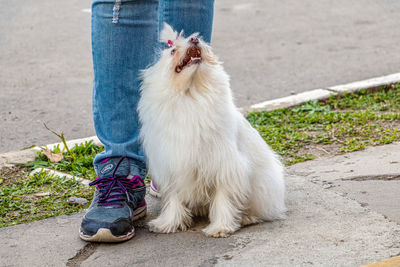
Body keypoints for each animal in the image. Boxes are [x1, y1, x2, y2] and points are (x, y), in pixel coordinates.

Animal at [139, 23, 286, 239]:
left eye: (192, 40)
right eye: (173, 51)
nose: (194, 39)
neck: (191, 93)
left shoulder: (225, 166)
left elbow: (224, 198)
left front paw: (220, 227)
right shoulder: (172, 165)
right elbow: (174, 198)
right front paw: (168, 223)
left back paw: (247, 217)